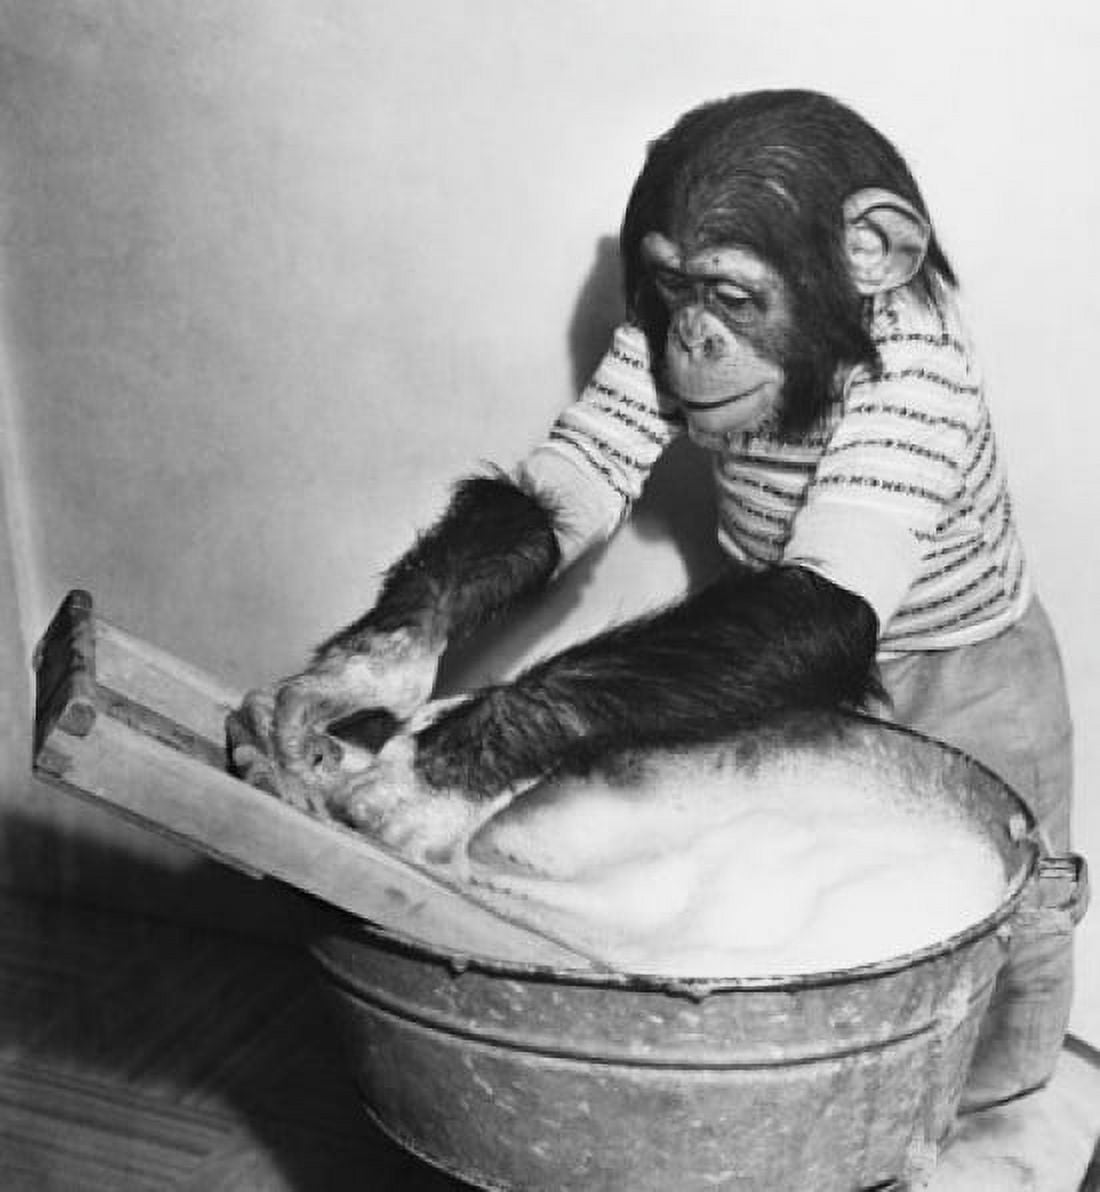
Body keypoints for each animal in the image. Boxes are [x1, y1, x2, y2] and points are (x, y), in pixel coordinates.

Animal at [229, 89, 1074, 1110]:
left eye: (733, 294)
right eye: (672, 288)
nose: (694, 339)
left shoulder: (916, 390)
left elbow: (824, 597)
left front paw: (432, 773)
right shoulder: (634, 343)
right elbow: (576, 473)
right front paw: (361, 680)